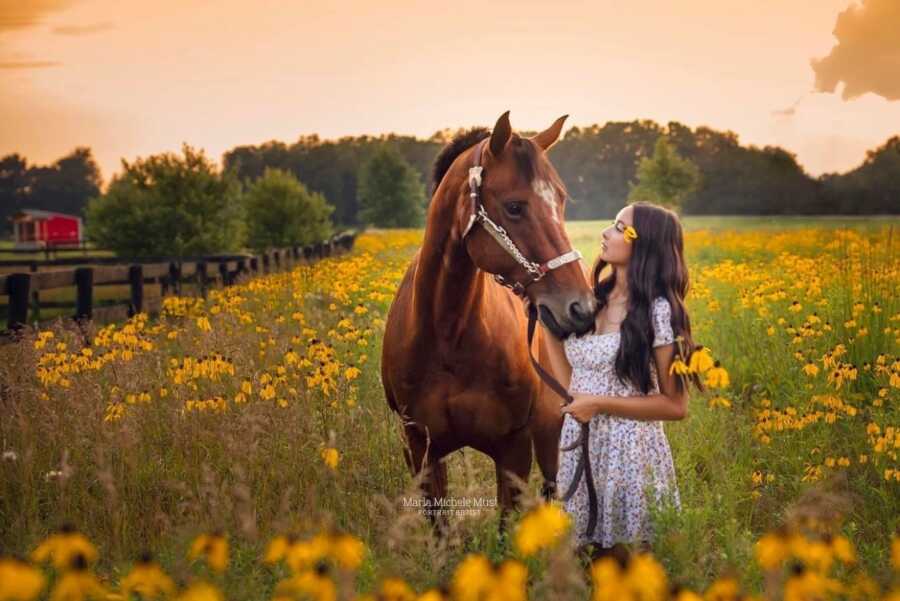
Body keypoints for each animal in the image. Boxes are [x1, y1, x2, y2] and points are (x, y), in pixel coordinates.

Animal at [380, 110, 596, 528]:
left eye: (561, 200)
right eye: (514, 207)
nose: (581, 308)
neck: (447, 335)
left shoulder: (514, 446)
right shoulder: (420, 449)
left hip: (552, 430)